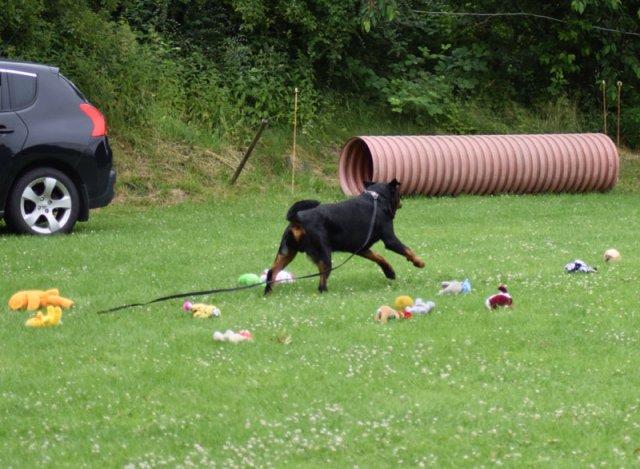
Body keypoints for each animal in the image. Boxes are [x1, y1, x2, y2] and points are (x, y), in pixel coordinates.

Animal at [264, 179, 424, 292]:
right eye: (398, 193)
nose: (402, 202)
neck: (377, 199)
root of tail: (297, 218)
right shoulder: (390, 239)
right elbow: (408, 250)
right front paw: (419, 262)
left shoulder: (361, 248)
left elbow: (379, 257)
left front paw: (389, 272)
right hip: (324, 255)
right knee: (321, 281)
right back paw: (326, 293)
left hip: (287, 252)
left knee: (272, 272)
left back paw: (268, 293)